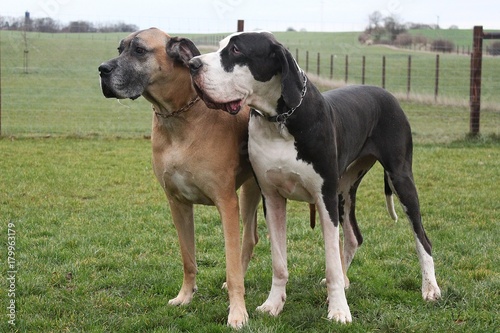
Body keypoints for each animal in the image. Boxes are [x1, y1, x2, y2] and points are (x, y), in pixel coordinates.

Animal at [98, 27, 262, 326]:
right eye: (119, 49)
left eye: (139, 50)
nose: (102, 69)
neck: (177, 116)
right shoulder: (178, 204)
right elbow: (188, 258)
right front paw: (185, 296)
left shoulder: (226, 203)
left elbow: (231, 264)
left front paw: (237, 312)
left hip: (250, 193)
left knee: (248, 239)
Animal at [188, 30, 442, 322]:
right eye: (220, 46)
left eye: (236, 50)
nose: (192, 64)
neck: (280, 120)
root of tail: (384, 92)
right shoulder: (272, 199)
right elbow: (279, 262)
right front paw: (273, 304)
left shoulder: (325, 198)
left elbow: (330, 262)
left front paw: (339, 310)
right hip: (345, 190)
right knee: (354, 236)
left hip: (399, 178)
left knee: (422, 238)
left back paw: (430, 288)